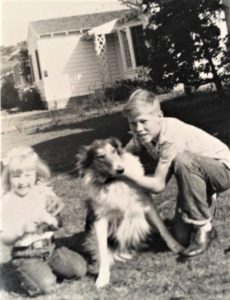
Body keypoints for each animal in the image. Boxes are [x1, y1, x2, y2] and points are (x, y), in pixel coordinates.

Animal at [76, 138, 182, 288]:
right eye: (100, 156)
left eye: (113, 151)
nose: (121, 170)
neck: (114, 182)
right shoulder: (99, 218)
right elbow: (102, 250)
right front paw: (102, 277)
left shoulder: (146, 202)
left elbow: (163, 229)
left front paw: (176, 246)